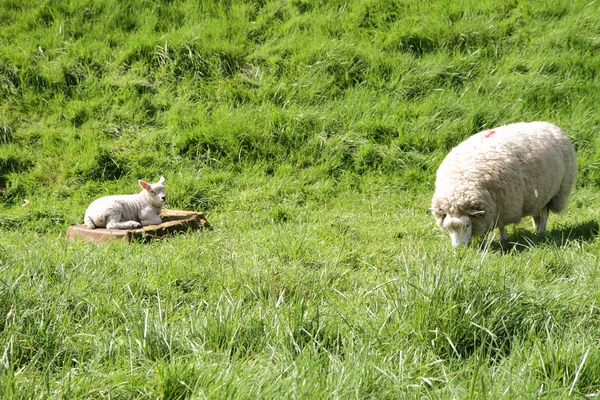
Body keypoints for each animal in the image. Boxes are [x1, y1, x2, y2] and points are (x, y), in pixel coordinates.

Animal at [432, 120, 576, 248]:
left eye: (467, 225)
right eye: (448, 228)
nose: (458, 248)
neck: (462, 182)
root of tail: (549, 125)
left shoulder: (504, 206)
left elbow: (501, 226)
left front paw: (503, 240)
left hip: (553, 192)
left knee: (544, 213)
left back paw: (541, 232)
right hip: (538, 195)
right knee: (537, 215)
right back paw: (536, 230)